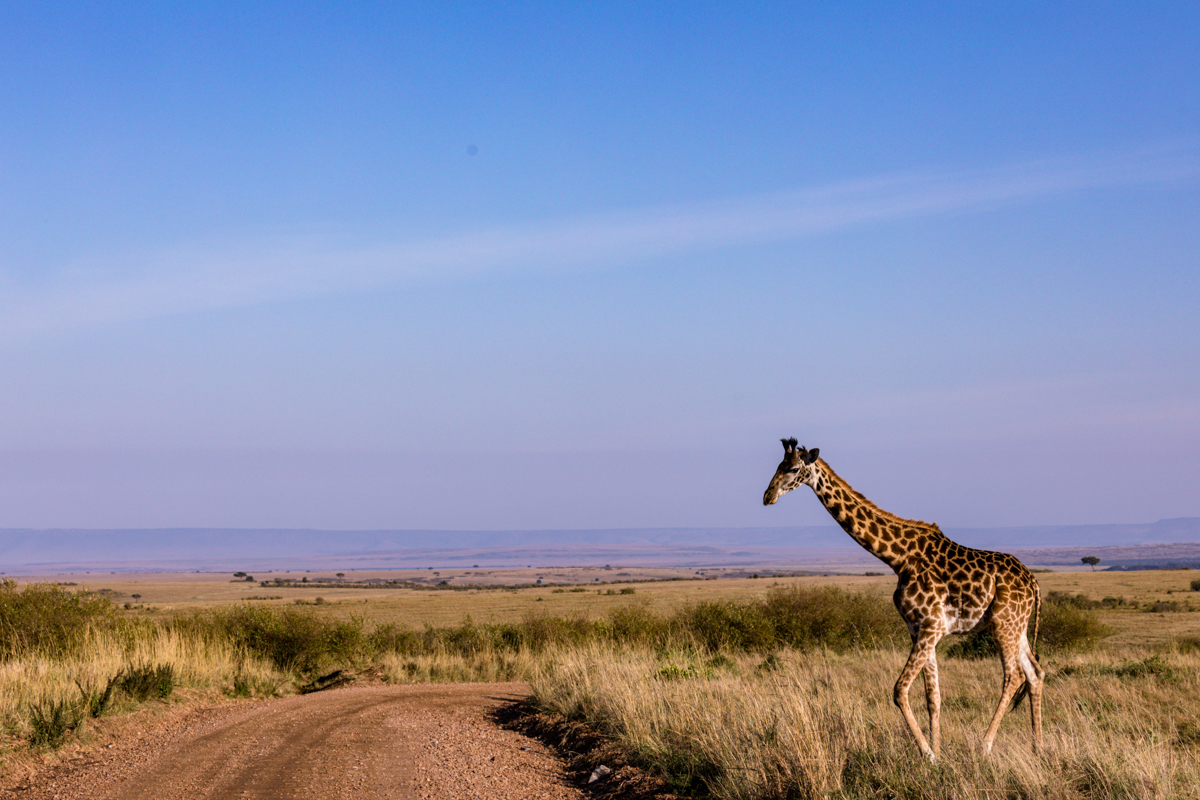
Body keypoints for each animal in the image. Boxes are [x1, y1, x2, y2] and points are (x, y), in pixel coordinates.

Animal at [763, 441, 1046, 762]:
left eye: (793, 469)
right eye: (778, 466)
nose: (768, 496)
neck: (898, 558)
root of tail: (1033, 581)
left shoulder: (932, 626)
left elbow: (900, 690)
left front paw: (928, 754)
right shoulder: (919, 629)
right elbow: (933, 696)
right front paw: (938, 753)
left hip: (1003, 624)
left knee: (1013, 676)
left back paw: (984, 746)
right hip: (1018, 626)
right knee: (1035, 673)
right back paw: (1038, 748)